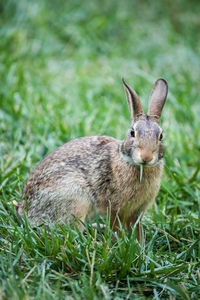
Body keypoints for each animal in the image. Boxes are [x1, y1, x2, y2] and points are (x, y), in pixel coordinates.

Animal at [18, 78, 167, 241]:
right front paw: (117, 242)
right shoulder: (114, 209)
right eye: (132, 132)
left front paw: (140, 245)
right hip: (75, 198)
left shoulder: (137, 212)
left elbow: (137, 230)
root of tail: (25, 211)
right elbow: (116, 228)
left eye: (161, 136)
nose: (146, 157)